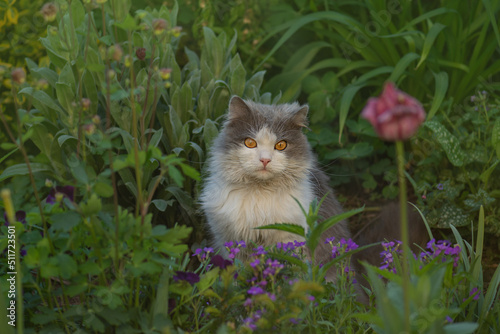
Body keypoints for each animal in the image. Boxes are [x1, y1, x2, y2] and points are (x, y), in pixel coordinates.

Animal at [199, 96, 352, 274]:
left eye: (281, 145)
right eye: (250, 142)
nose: (265, 160)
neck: (259, 194)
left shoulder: (291, 238)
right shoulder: (229, 239)